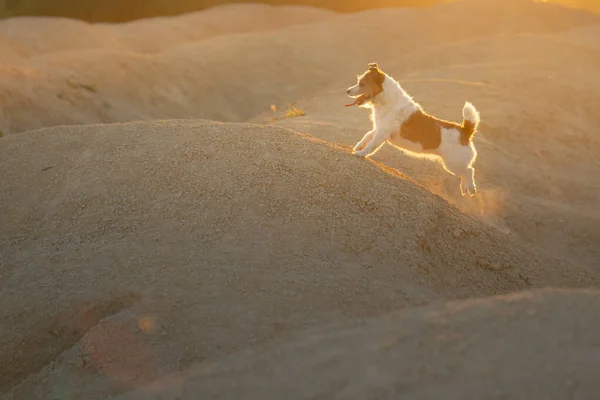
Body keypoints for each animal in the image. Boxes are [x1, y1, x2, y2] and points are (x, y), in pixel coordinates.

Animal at [344, 62, 480, 197]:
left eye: (362, 83)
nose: (347, 91)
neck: (390, 102)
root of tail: (465, 131)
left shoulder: (382, 134)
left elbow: (371, 146)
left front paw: (361, 153)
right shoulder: (378, 129)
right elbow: (367, 136)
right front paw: (358, 146)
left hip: (453, 164)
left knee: (469, 170)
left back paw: (470, 188)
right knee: (465, 172)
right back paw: (464, 188)